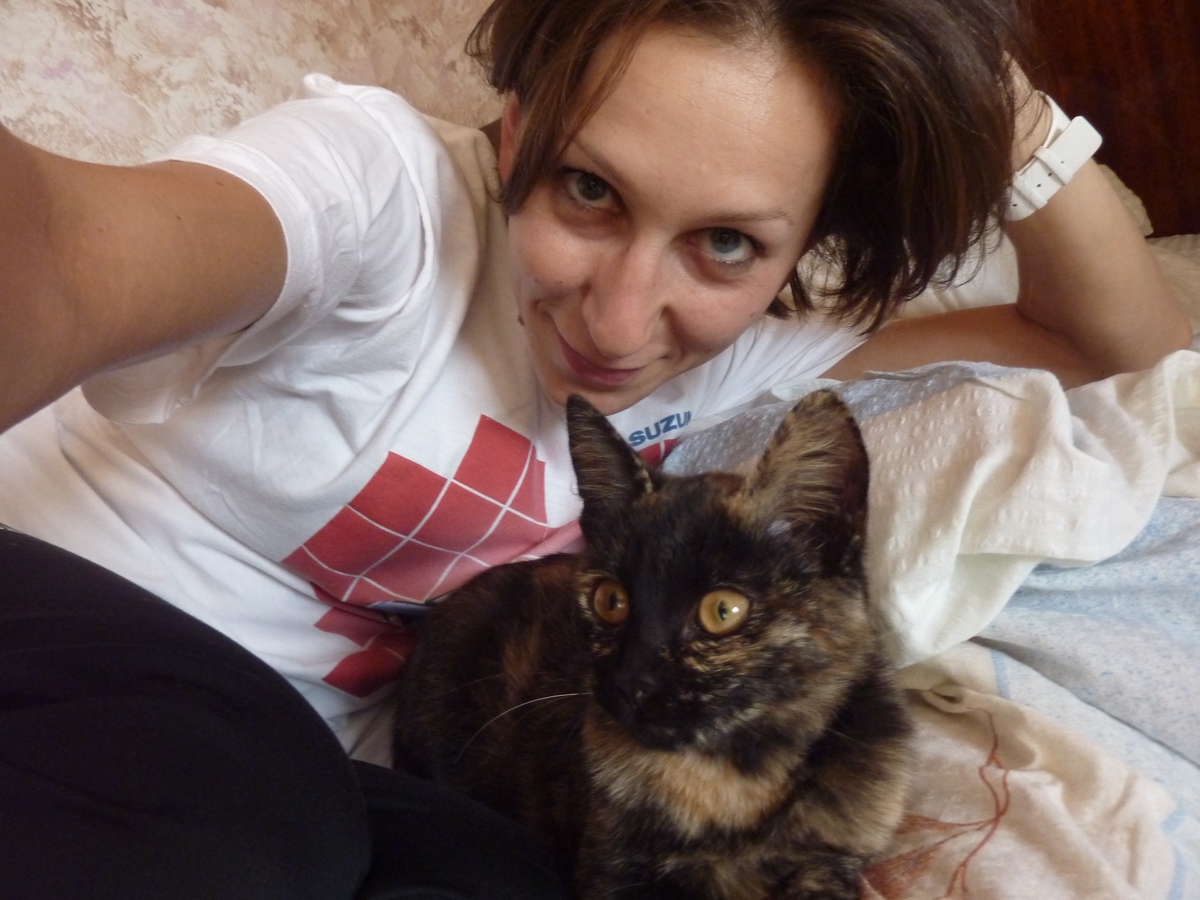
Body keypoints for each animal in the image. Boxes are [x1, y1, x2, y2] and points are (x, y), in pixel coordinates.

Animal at [393, 390, 913, 900]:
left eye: (723, 610)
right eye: (610, 601)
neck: (729, 781)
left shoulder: (827, 865)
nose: (629, 683)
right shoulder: (613, 870)